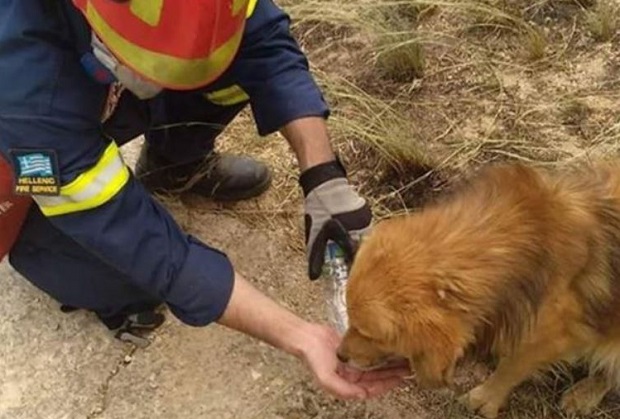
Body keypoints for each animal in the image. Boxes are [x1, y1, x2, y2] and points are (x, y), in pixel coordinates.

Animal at [336, 160, 620, 416]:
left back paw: (584, 394)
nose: (339, 355)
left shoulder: (553, 336)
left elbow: (512, 366)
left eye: (370, 334)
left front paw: (485, 398)